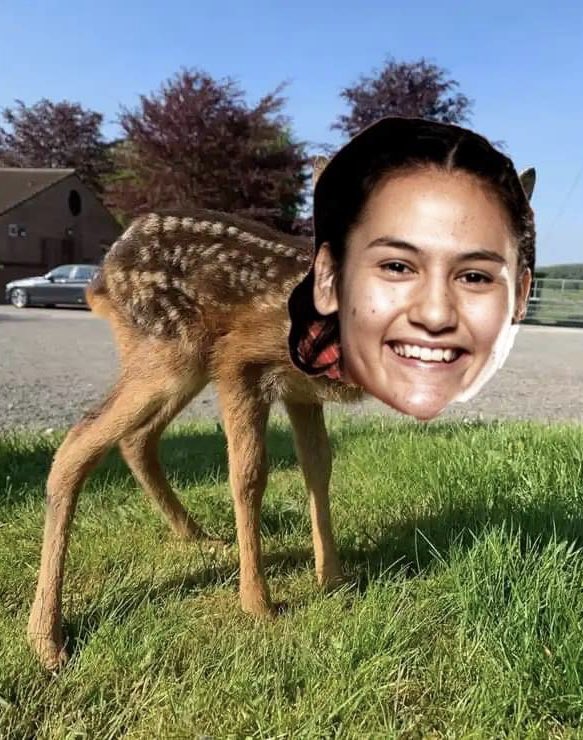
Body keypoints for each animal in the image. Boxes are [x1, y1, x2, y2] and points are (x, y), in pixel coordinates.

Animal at [27, 160, 366, 671]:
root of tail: (99, 277)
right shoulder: (239, 363)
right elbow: (248, 475)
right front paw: (258, 604)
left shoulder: (302, 393)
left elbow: (318, 468)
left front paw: (333, 578)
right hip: (170, 353)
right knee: (77, 442)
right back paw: (46, 640)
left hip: (176, 364)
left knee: (135, 440)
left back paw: (200, 537)